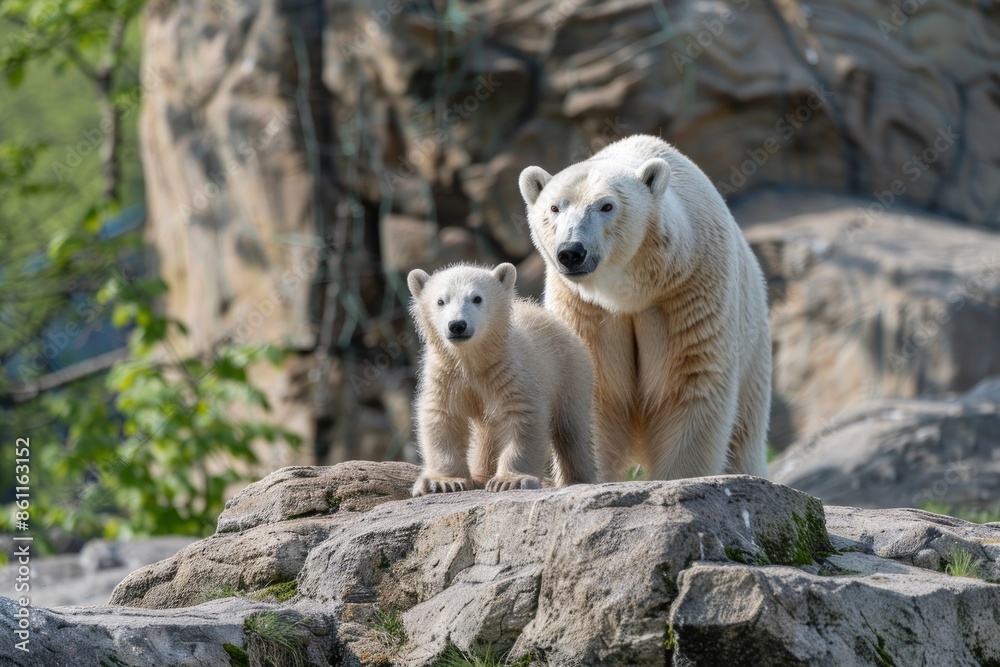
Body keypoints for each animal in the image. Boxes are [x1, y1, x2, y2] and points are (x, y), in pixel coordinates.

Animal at [407, 262, 597, 496]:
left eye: (477, 298)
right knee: (487, 433)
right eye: (441, 301)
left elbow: (522, 416)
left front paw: (509, 481)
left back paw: (579, 479)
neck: (473, 359)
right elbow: (443, 417)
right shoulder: (447, 376)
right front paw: (443, 482)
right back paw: (481, 475)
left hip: (570, 372)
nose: (457, 325)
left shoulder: (510, 372)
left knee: (572, 430)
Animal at [518, 134, 771, 481]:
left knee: (744, 438)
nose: (571, 252)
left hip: (754, 354)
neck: (630, 290)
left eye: (606, 205)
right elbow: (595, 389)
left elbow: (693, 380)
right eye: (555, 207)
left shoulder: (689, 291)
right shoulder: (583, 308)